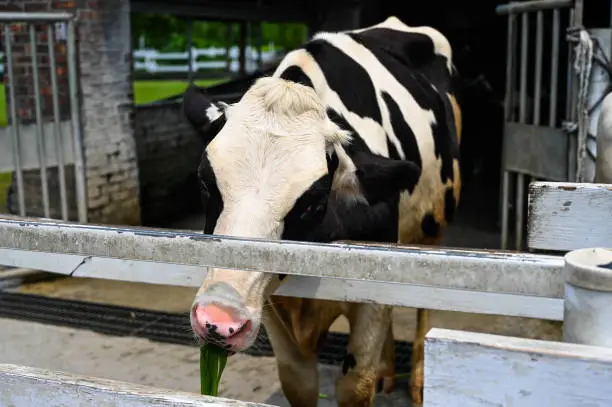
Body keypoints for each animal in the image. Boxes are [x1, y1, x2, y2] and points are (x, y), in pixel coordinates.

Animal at [184, 16, 462, 407]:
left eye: (314, 203)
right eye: (205, 185)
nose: (219, 322)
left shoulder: (372, 298)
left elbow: (356, 384)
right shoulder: (273, 303)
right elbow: (298, 381)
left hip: (434, 228)